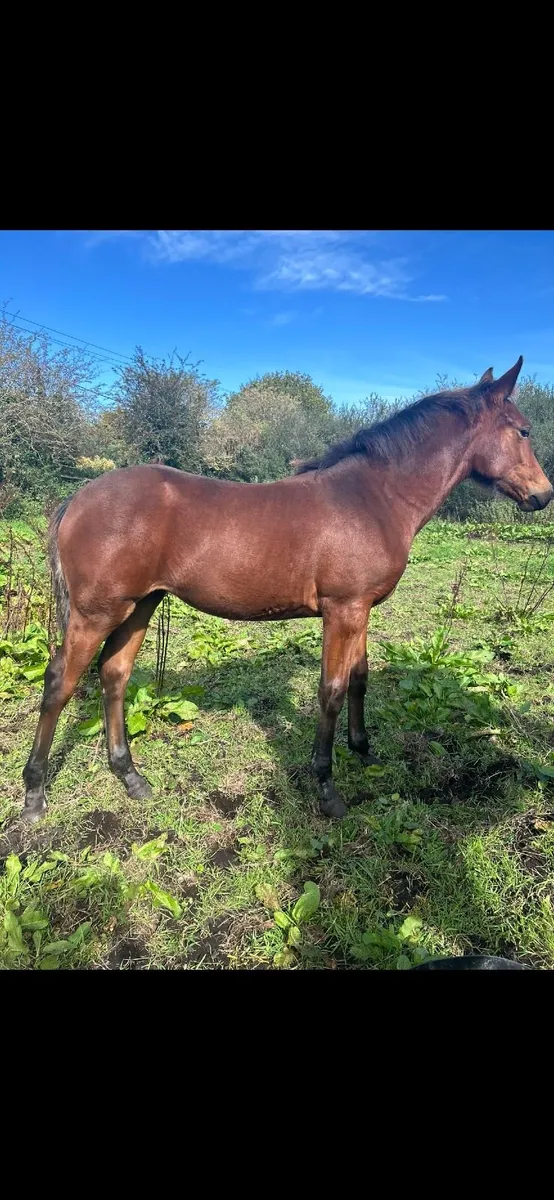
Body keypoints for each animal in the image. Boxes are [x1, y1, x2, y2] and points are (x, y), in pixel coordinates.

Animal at [22, 357, 552, 822]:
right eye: (524, 430)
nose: (543, 495)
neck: (374, 497)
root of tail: (79, 497)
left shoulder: (361, 609)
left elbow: (360, 679)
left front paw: (364, 753)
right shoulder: (343, 610)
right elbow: (331, 691)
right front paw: (327, 789)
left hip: (139, 605)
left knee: (113, 675)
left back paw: (131, 777)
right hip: (96, 612)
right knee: (60, 683)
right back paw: (33, 796)